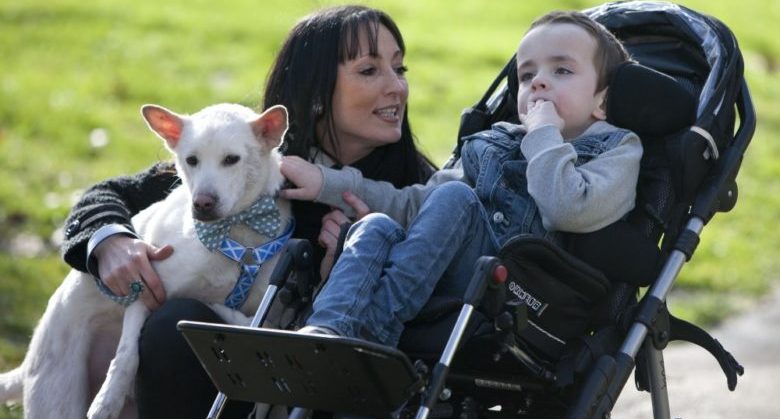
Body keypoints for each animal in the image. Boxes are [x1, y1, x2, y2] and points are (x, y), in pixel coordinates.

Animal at [0, 102, 292, 419]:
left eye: (231, 159)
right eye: (191, 160)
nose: (202, 204)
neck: (234, 234)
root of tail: (28, 360)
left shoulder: (272, 315)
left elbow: (266, 328)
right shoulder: (146, 291)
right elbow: (127, 353)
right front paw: (108, 399)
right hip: (58, 397)